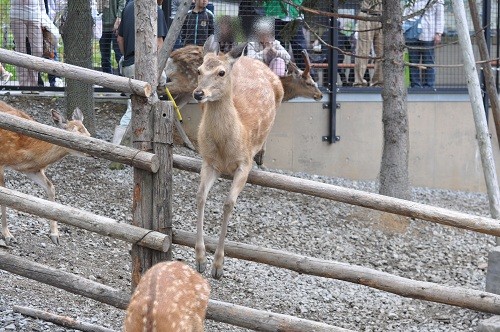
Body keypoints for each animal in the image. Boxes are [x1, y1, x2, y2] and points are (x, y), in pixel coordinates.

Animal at [0, 102, 90, 245]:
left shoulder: (30, 169)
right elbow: (4, 195)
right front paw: (7, 235)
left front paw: (55, 234)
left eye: (88, 132)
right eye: (75, 133)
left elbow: (51, 187)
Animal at [192, 36, 286, 278]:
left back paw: (262, 155)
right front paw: (200, 260)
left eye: (221, 72)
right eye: (199, 70)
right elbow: (200, 197)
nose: (199, 93)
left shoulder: (244, 164)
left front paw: (217, 266)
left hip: (281, 92)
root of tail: (252, 59)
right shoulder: (208, 161)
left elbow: (228, 203)